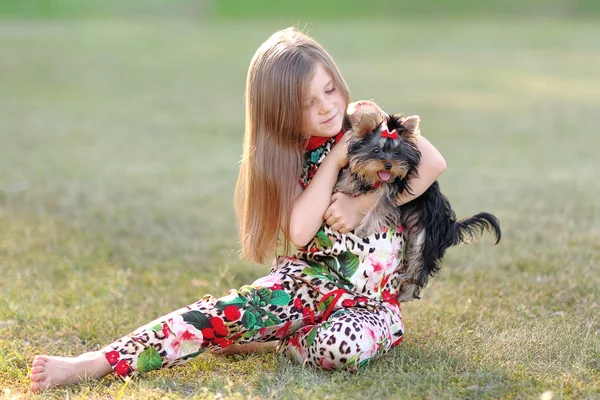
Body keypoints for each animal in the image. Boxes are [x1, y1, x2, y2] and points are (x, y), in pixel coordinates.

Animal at [336, 101, 500, 302]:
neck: (379, 179)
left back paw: (405, 293)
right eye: (376, 150)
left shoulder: (394, 189)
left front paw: (364, 228)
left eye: (397, 153)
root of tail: (449, 226)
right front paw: (344, 184)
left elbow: (379, 206)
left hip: (426, 237)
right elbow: (354, 176)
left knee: (419, 266)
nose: (388, 165)